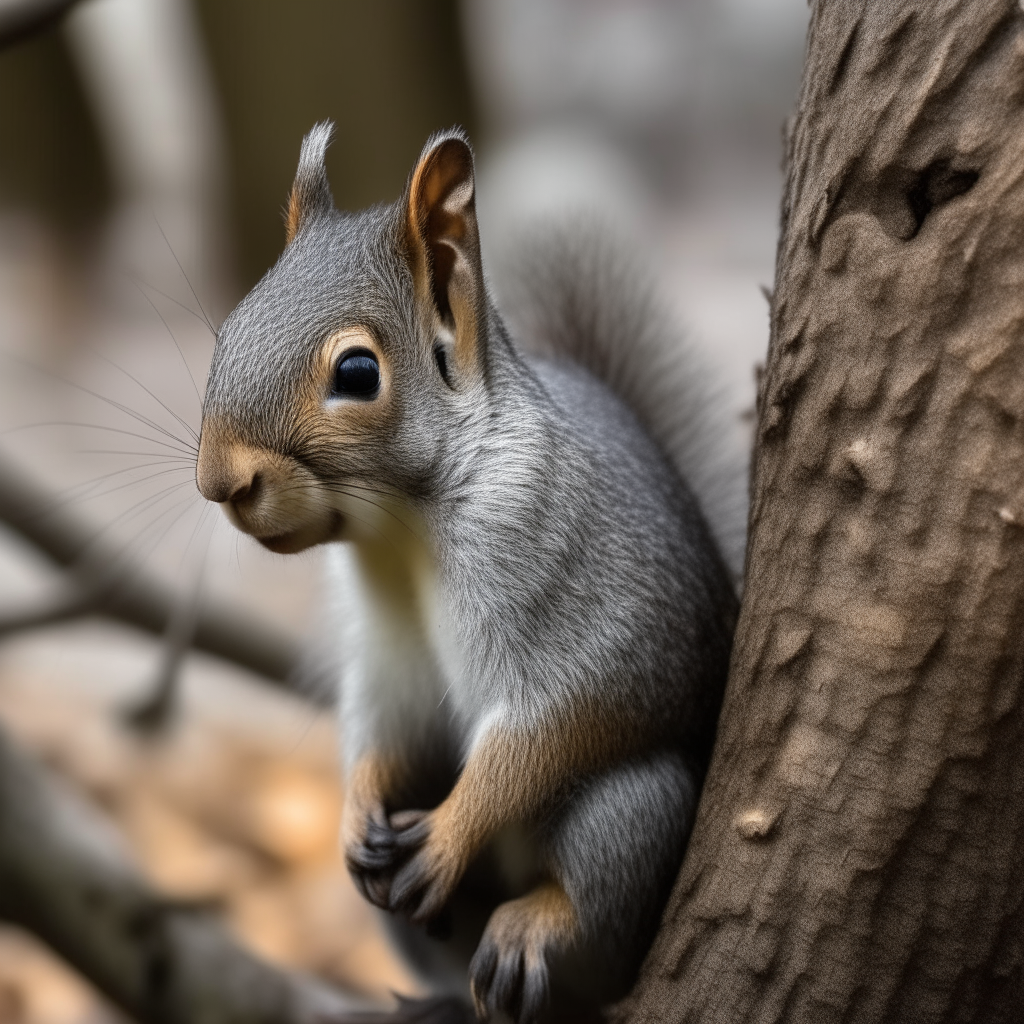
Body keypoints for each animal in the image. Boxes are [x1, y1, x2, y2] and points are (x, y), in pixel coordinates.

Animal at [193, 123, 737, 1019]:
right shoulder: (386, 649)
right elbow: (383, 722)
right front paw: (355, 809)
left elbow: (555, 723)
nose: (219, 481)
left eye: (357, 373)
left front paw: (451, 834)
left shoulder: (576, 584)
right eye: (228, 332)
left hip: (631, 810)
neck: (402, 531)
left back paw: (535, 922)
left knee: (599, 882)